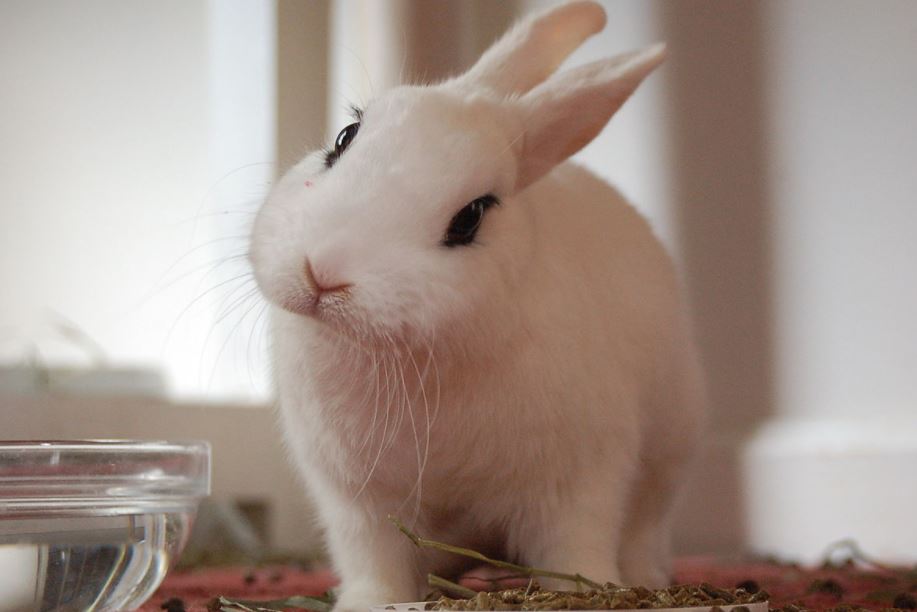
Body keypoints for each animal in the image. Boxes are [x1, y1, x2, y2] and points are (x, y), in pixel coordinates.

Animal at [249, 2, 705, 611]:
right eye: (345, 137)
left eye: (470, 217)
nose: (321, 272)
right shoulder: (359, 502)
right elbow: (374, 562)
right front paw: (367, 601)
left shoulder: (578, 479)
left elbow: (574, 546)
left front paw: (586, 590)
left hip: (666, 464)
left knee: (642, 531)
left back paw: (643, 579)